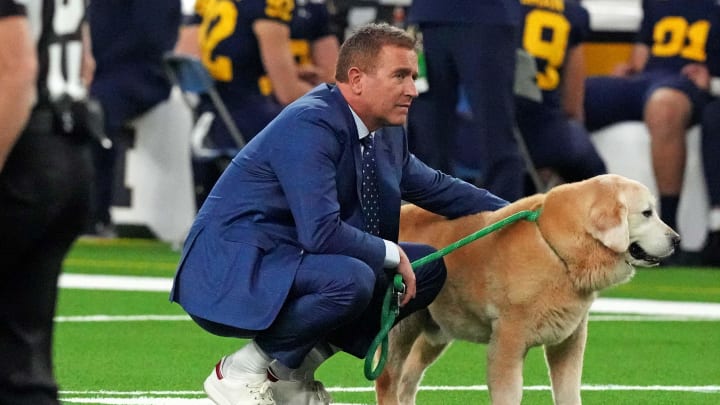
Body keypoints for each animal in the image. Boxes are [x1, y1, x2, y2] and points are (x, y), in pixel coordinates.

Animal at [376, 174, 680, 404]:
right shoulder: (507, 344)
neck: (555, 247)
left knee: (407, 380)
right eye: (647, 213)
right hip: (399, 329)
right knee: (388, 381)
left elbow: (569, 394)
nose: (677, 239)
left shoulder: (568, 343)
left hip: (435, 332)